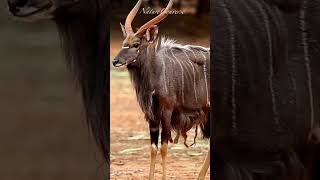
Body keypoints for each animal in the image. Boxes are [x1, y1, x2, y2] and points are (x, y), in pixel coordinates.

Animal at [112, 0, 210, 179]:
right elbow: (153, 148)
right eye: (124, 43)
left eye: (136, 44)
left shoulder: (167, 111)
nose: (115, 61)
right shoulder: (151, 116)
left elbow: (164, 147)